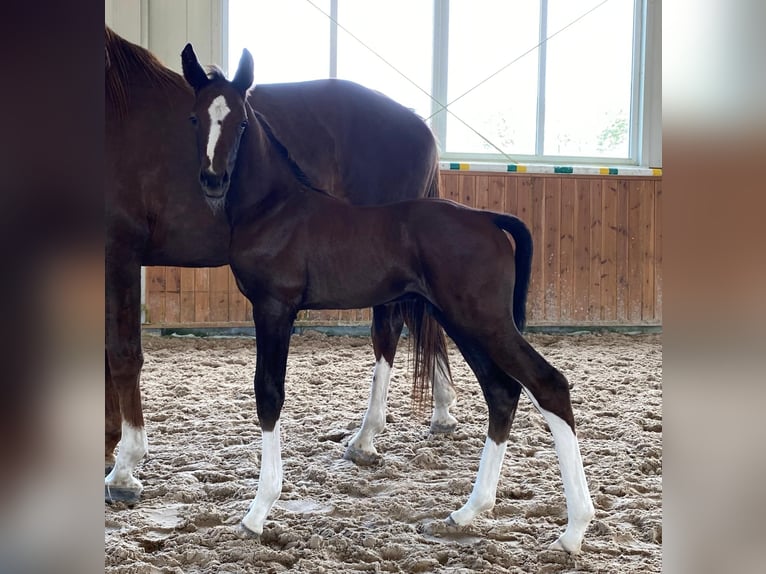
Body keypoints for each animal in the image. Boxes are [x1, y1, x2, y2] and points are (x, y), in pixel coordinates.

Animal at [183, 45, 596, 552]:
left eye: (240, 122)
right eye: (196, 117)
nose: (213, 180)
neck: (276, 207)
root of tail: (487, 218)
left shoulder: (275, 308)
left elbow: (269, 394)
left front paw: (257, 513)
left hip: (484, 320)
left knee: (548, 384)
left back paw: (572, 532)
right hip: (461, 320)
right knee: (502, 392)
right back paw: (466, 513)